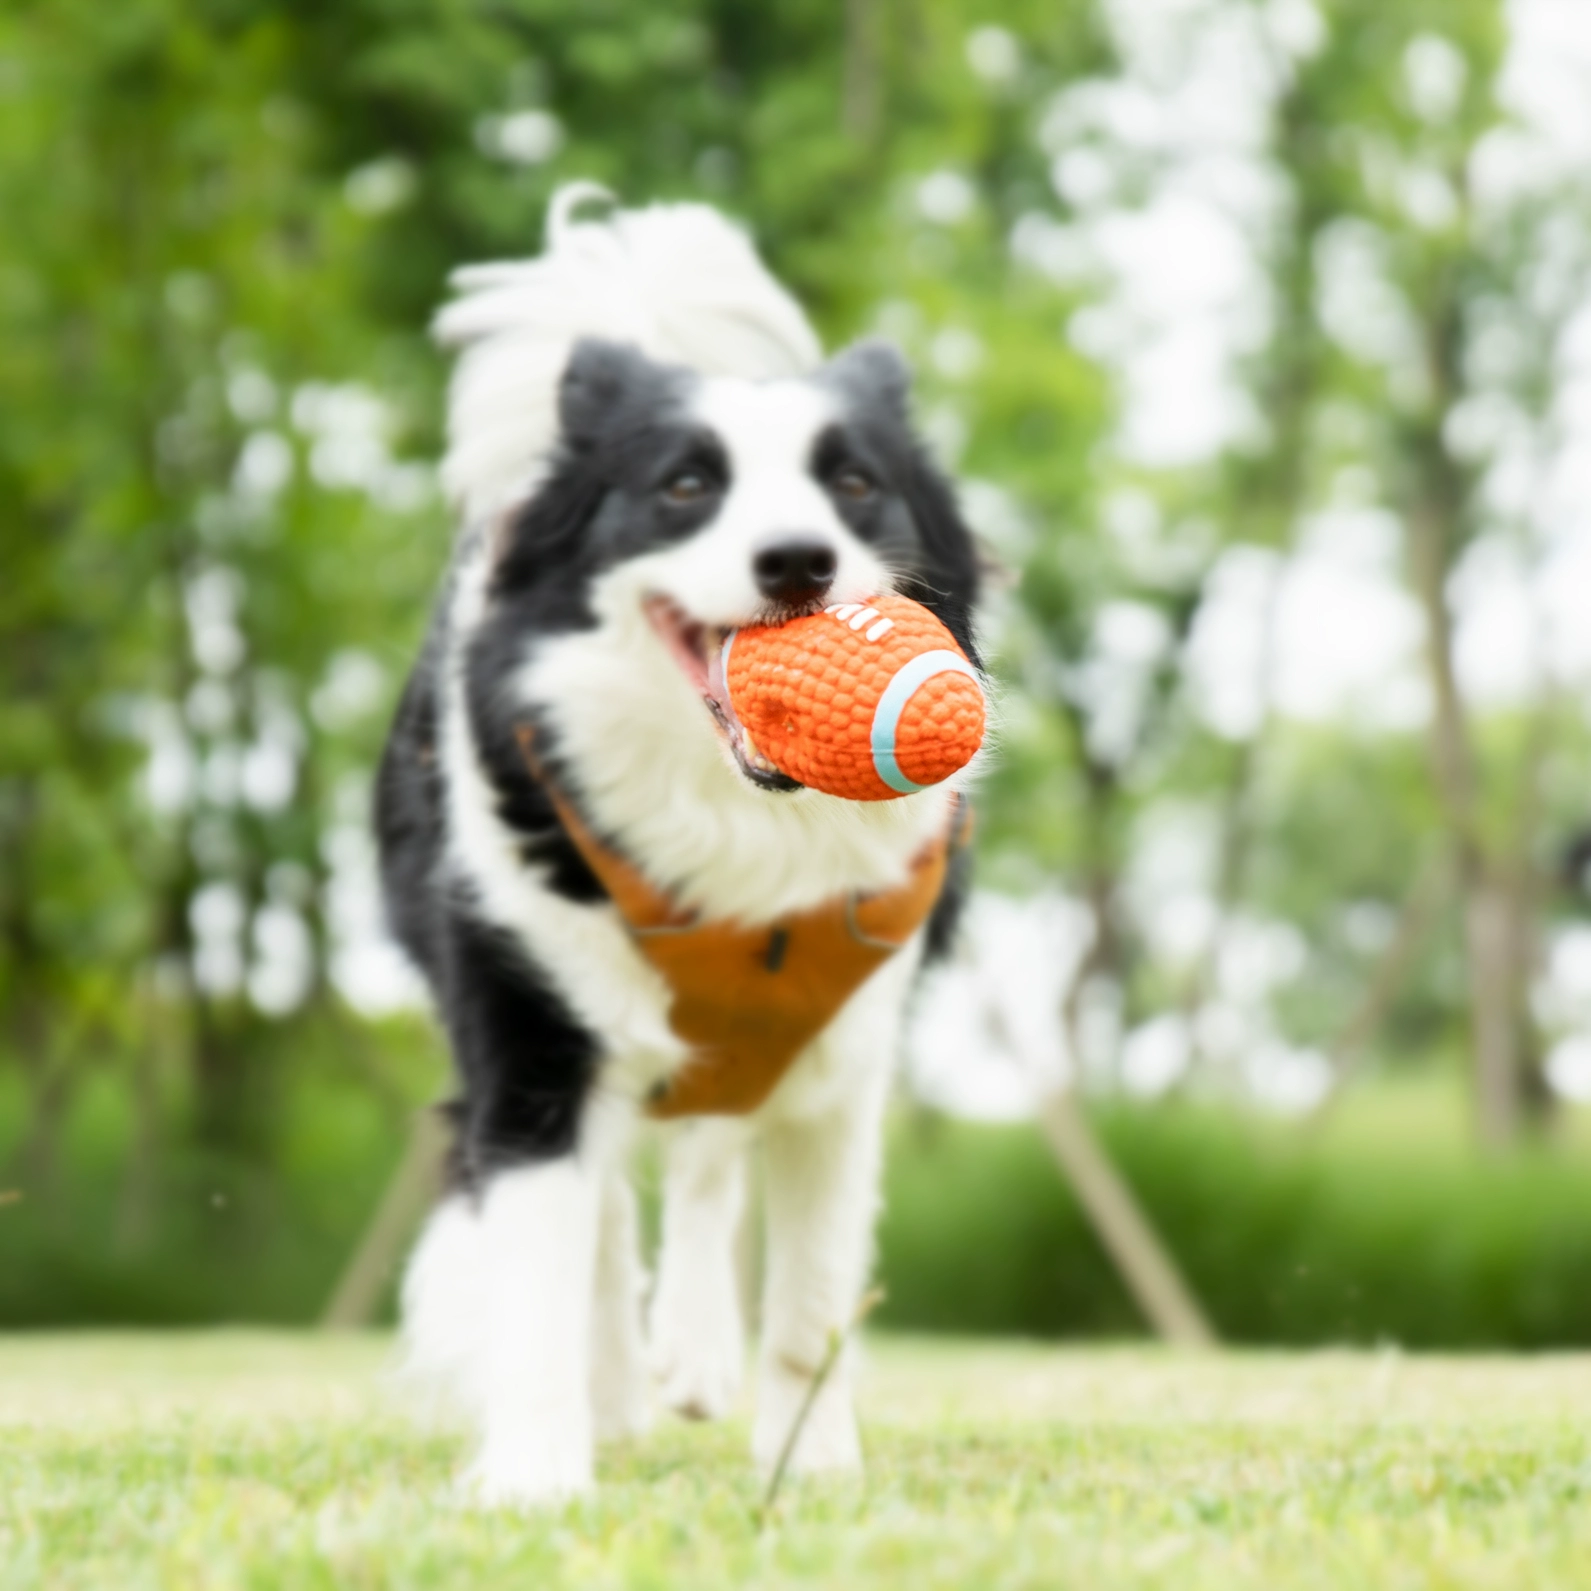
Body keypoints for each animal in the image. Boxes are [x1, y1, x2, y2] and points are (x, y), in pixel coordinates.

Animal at [381, 186, 980, 1501]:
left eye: (851, 482)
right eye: (685, 484)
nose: (796, 559)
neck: (735, 821)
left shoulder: (840, 1056)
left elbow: (809, 1292)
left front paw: (808, 1469)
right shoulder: (528, 1021)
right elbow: (540, 1262)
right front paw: (534, 1480)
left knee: (709, 1158)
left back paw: (696, 1361)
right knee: (609, 1208)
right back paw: (614, 1392)